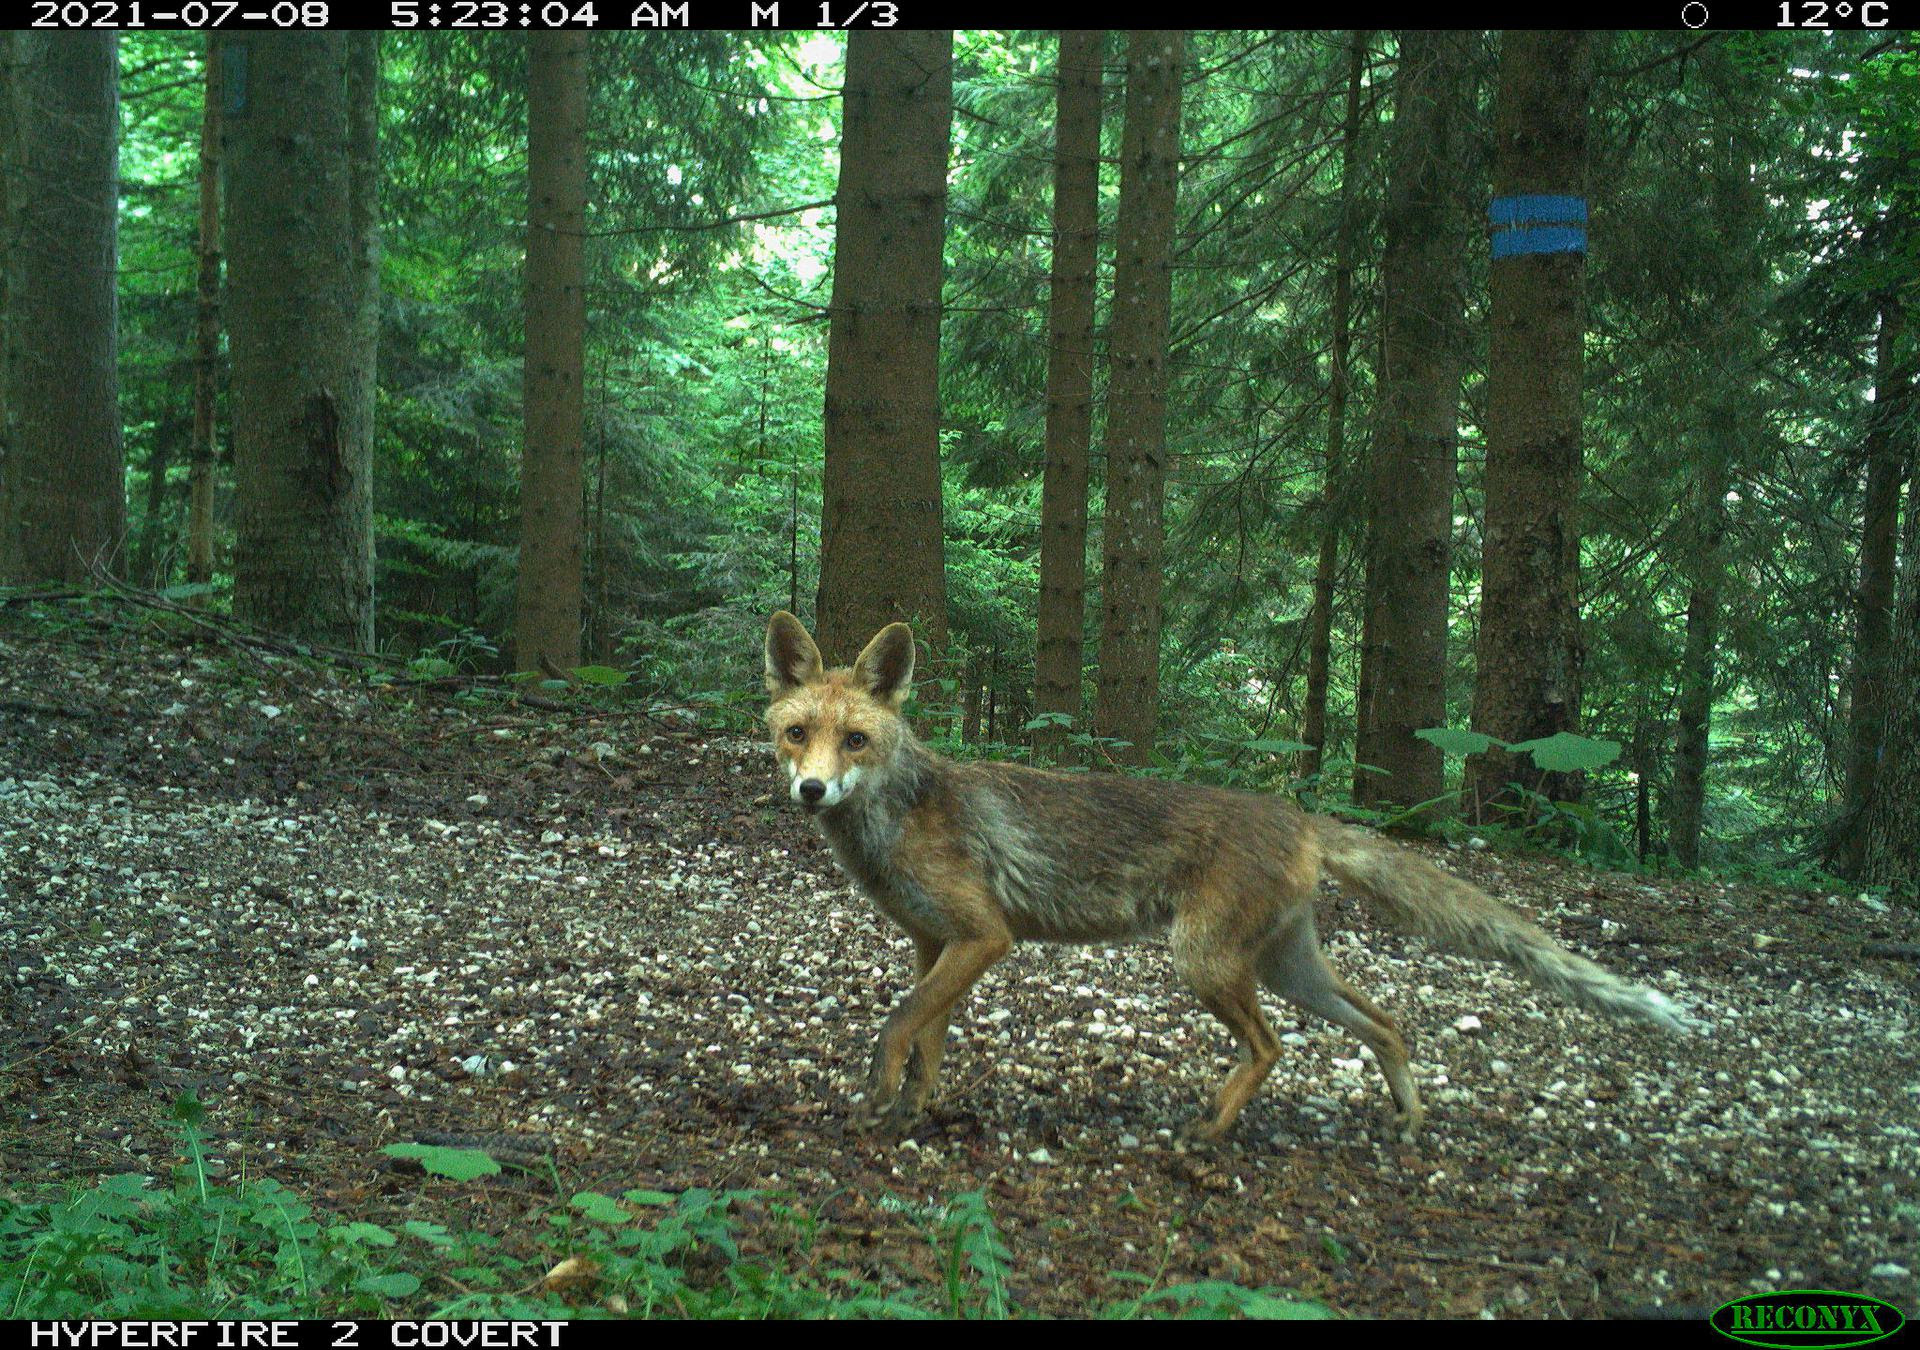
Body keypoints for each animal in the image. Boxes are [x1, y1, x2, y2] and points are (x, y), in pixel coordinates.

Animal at [756, 614, 1689, 1136]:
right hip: (1285, 967)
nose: (810, 790)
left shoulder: (986, 937)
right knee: (1386, 1022)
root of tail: (1295, 815)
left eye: (856, 741)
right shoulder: (933, 943)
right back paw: (1409, 1121)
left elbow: (896, 1027)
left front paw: (876, 1101)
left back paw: (1210, 1129)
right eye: (797, 733)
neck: (899, 815)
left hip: (1205, 963)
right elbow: (928, 1039)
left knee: (1273, 1047)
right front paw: (914, 1110)